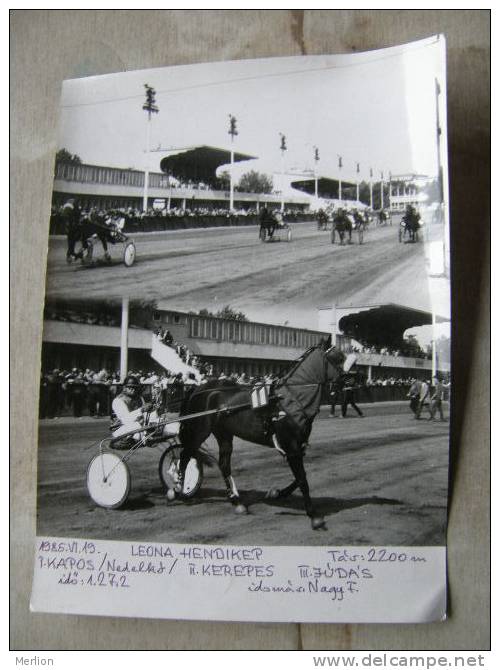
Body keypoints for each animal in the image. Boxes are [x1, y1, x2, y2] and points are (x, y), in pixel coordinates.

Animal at [175, 346, 344, 532]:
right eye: (337, 358)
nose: (347, 379)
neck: (289, 399)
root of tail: (198, 389)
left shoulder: (296, 447)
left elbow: (300, 478)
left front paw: (278, 493)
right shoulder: (291, 447)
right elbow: (302, 480)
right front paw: (314, 516)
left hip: (224, 434)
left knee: (223, 464)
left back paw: (236, 501)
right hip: (199, 431)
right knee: (185, 456)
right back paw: (179, 489)